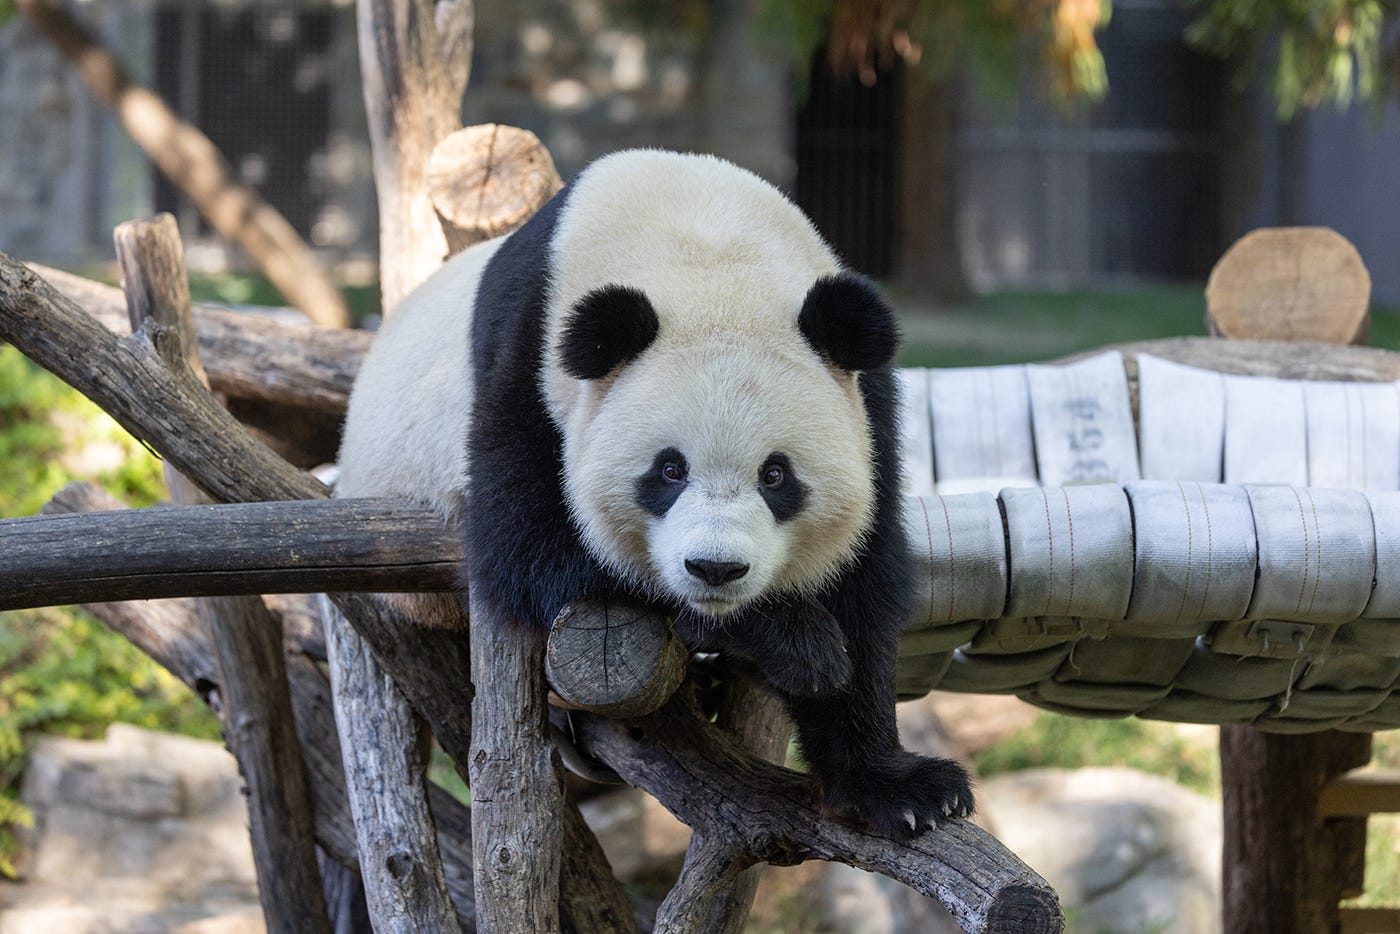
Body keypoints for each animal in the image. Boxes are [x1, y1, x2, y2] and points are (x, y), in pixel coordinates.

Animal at [338, 149, 974, 834]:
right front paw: (798, 644)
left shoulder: (866, 402)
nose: (715, 569)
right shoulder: (527, 364)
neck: (704, 245)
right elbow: (529, 550)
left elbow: (863, 580)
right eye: (669, 471)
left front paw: (901, 786)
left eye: (776, 475)